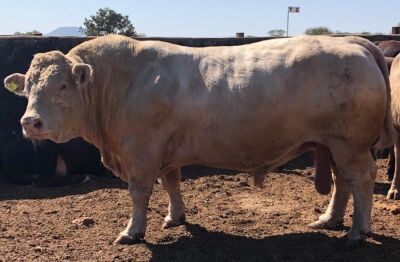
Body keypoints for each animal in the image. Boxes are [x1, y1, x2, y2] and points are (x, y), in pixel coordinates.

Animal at [3, 34, 396, 246]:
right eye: (28, 87)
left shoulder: (141, 154)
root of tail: (352, 42)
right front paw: (175, 217)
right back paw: (329, 220)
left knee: (361, 180)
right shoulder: (165, 151)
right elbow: (171, 183)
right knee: (343, 183)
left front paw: (132, 231)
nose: (30, 122)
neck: (119, 83)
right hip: (333, 144)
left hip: (350, 144)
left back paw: (358, 231)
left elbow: (139, 194)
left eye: (62, 85)